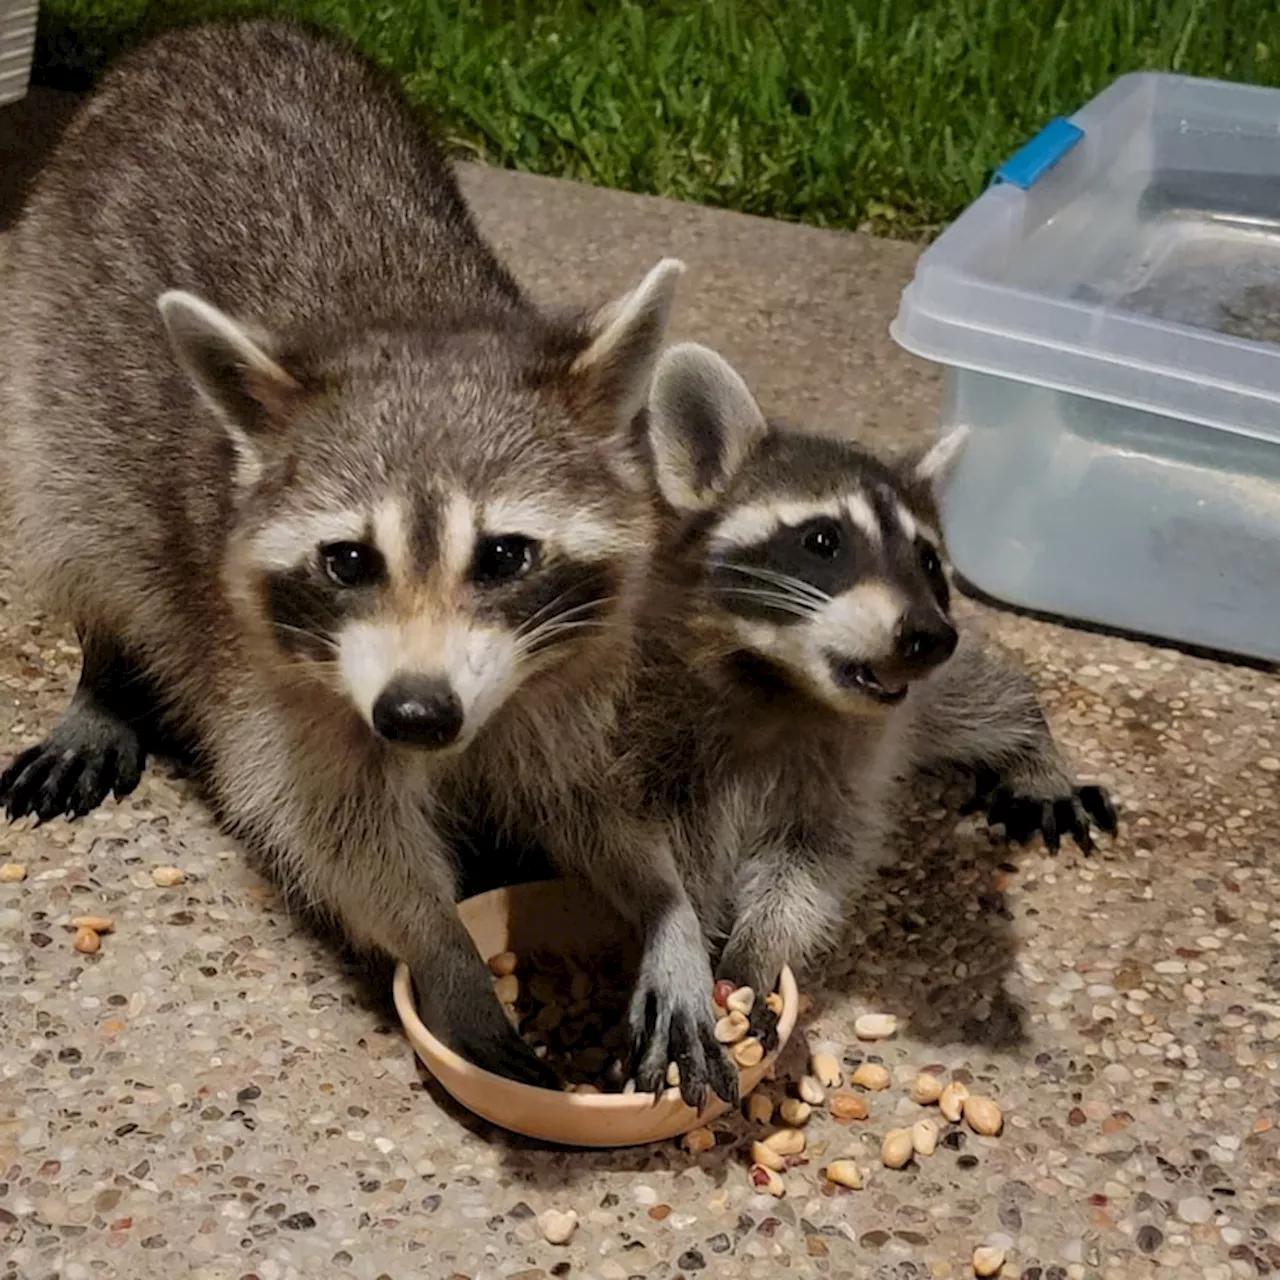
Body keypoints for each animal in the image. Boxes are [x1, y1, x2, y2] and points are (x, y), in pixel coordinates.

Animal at [0, 17, 691, 1080]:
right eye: (350, 562)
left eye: (504, 556)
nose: (415, 714)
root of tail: (212, 30)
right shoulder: (280, 688)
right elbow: (334, 833)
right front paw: (444, 955)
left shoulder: (569, 664)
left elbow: (580, 790)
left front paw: (665, 901)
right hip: (50, 357)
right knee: (82, 529)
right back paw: (104, 674)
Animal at [634, 345, 1116, 1003]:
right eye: (822, 541)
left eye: (929, 560)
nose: (930, 637)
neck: (777, 682)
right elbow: (670, 858)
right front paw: (687, 941)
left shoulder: (855, 756)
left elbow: (811, 859)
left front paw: (760, 950)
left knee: (974, 698)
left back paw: (1031, 748)